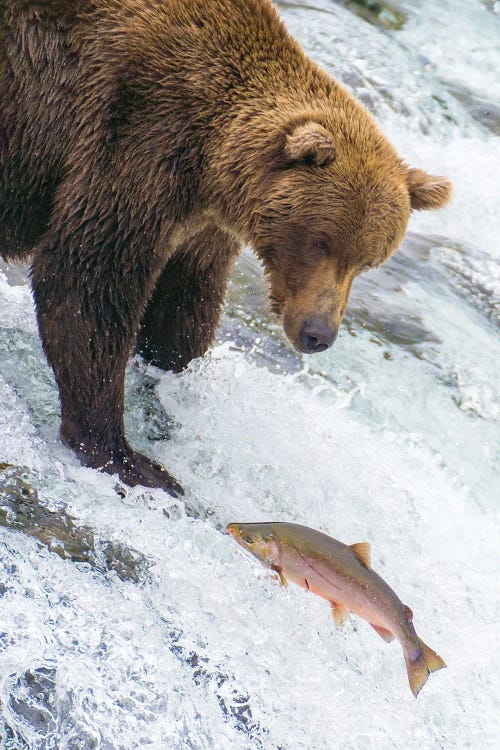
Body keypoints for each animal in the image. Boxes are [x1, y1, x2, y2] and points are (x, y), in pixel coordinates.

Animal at [0, 0, 454, 496]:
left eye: (367, 262)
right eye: (321, 242)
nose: (318, 333)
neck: (210, 163)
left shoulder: (200, 225)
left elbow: (182, 305)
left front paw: (176, 382)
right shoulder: (135, 136)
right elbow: (87, 279)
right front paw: (127, 457)